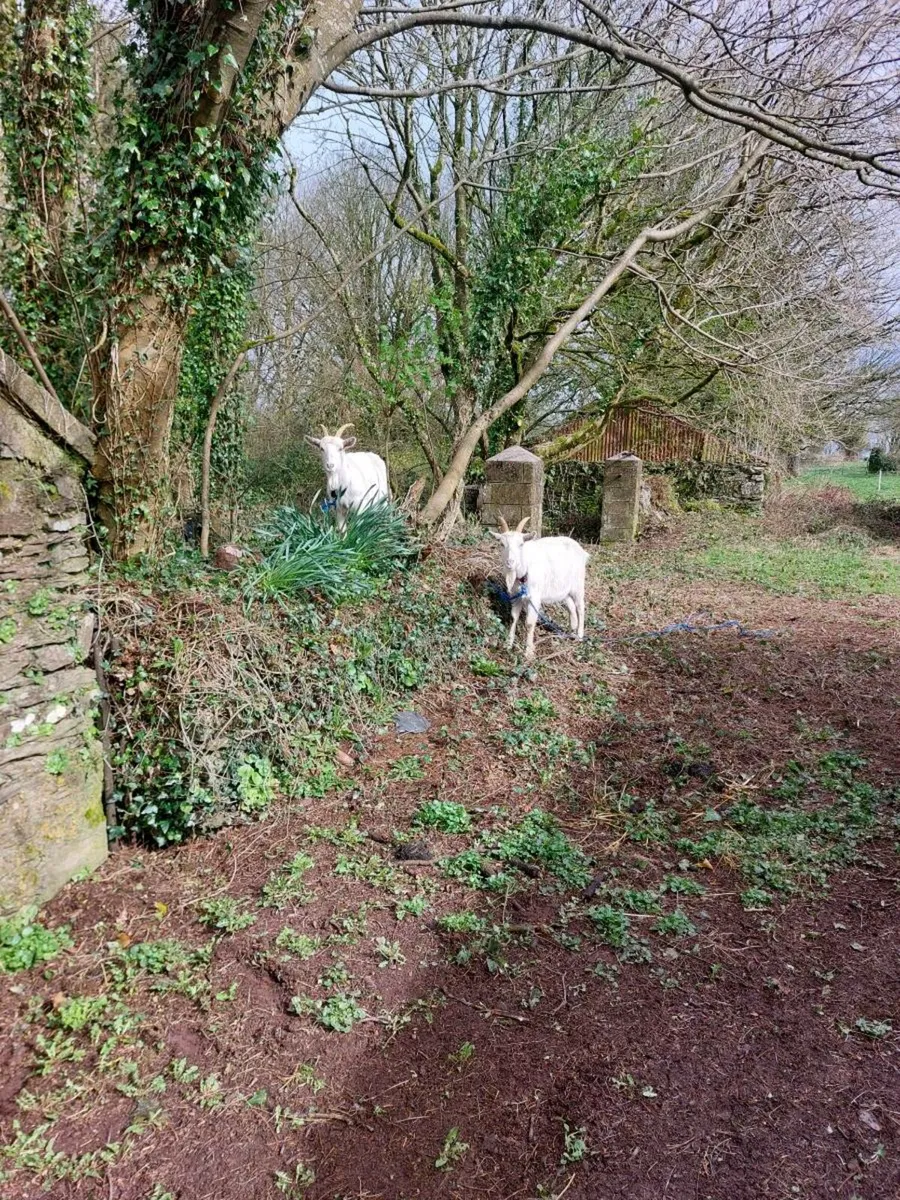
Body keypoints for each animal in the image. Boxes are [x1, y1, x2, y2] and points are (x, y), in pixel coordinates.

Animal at [490, 516, 589, 661]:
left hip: (578, 585)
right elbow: (513, 617)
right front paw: (508, 644)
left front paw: (528, 652)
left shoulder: (534, 597)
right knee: (571, 607)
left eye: (521, 544)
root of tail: (582, 551)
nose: (510, 562)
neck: (524, 572)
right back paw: (571, 633)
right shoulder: (516, 596)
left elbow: (530, 623)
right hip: (564, 590)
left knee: (580, 607)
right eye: (502, 544)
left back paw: (580, 636)